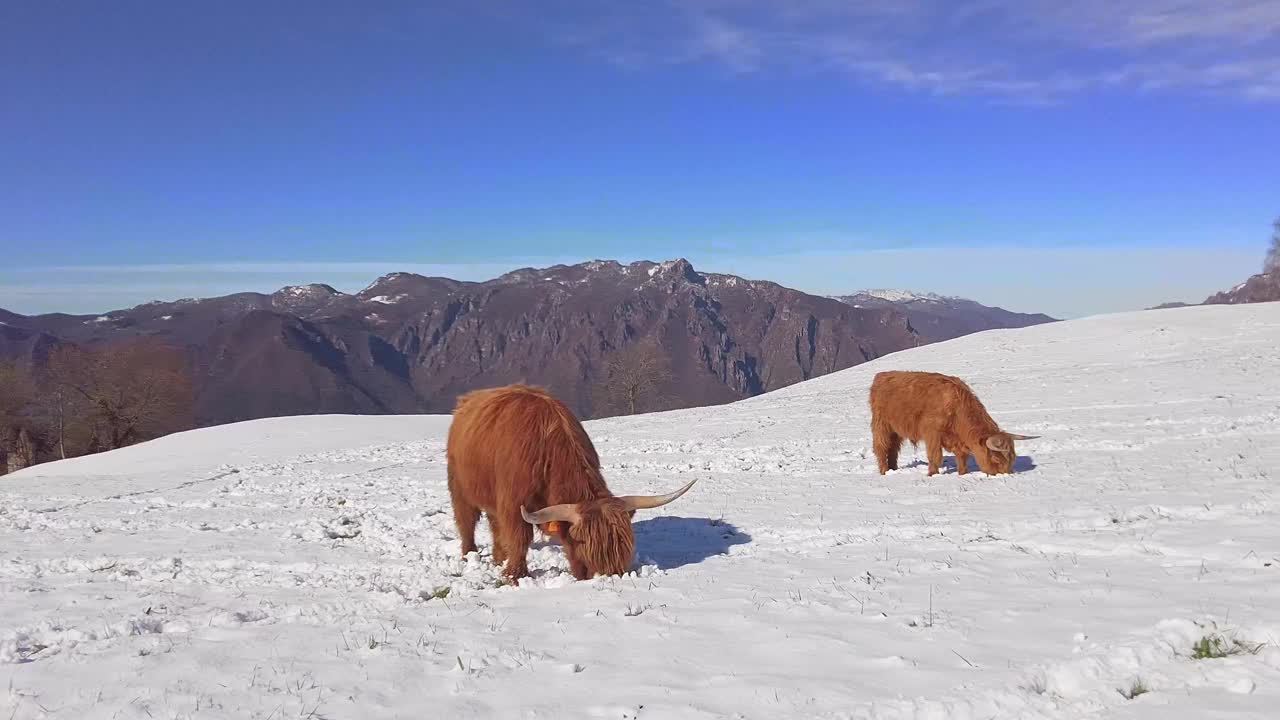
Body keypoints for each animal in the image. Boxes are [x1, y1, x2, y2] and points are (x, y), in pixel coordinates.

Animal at [445, 384, 696, 579]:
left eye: (625, 546)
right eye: (583, 545)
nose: (609, 575)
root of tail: (467, 400)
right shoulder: (512, 503)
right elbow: (519, 537)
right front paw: (515, 575)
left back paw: (498, 558)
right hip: (459, 487)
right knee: (466, 521)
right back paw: (469, 555)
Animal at [870, 368, 1039, 476]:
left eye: (1013, 457)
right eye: (996, 458)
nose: (1005, 475)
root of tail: (882, 375)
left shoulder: (958, 441)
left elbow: (962, 457)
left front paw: (963, 473)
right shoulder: (932, 434)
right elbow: (935, 456)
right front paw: (932, 474)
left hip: (896, 430)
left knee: (893, 449)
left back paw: (893, 469)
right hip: (881, 425)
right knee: (881, 447)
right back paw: (884, 471)